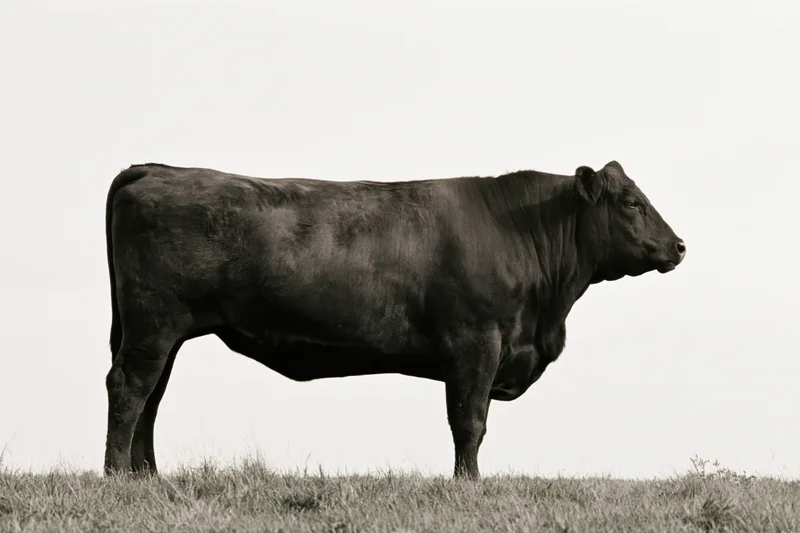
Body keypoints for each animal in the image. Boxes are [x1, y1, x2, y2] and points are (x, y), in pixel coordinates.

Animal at [103, 160, 685, 479]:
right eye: (631, 202)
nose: (678, 246)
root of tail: (155, 169)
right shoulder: (476, 341)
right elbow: (469, 421)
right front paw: (468, 484)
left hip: (157, 331)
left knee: (151, 397)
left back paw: (145, 476)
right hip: (155, 323)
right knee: (130, 389)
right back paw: (115, 476)